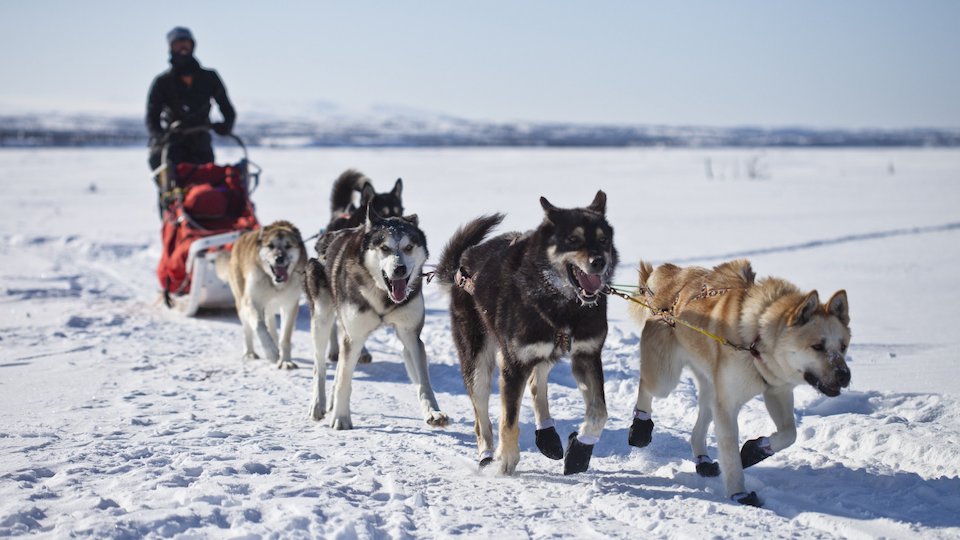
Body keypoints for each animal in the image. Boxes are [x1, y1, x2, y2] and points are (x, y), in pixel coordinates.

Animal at [218, 218, 308, 368]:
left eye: (288, 246)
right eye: (270, 246)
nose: (279, 258)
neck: (274, 284)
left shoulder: (289, 305)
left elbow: (285, 337)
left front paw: (285, 361)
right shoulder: (252, 302)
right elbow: (260, 327)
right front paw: (271, 352)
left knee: (271, 323)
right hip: (241, 303)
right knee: (248, 329)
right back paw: (250, 353)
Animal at [436, 192, 616, 474]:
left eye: (603, 240)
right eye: (573, 239)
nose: (599, 262)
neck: (562, 305)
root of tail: (463, 262)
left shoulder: (587, 354)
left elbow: (600, 412)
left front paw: (580, 449)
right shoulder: (514, 363)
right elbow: (508, 420)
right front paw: (506, 459)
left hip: (547, 350)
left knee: (535, 383)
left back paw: (547, 435)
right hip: (478, 363)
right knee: (481, 418)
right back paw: (487, 455)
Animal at [628, 258, 852, 506]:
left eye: (843, 346)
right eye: (817, 346)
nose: (844, 375)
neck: (756, 340)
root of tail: (669, 274)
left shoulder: (776, 392)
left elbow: (789, 433)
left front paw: (755, 450)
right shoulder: (727, 405)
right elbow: (731, 455)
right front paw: (739, 493)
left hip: (710, 388)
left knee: (699, 425)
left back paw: (703, 460)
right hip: (665, 379)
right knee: (646, 386)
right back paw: (640, 428)